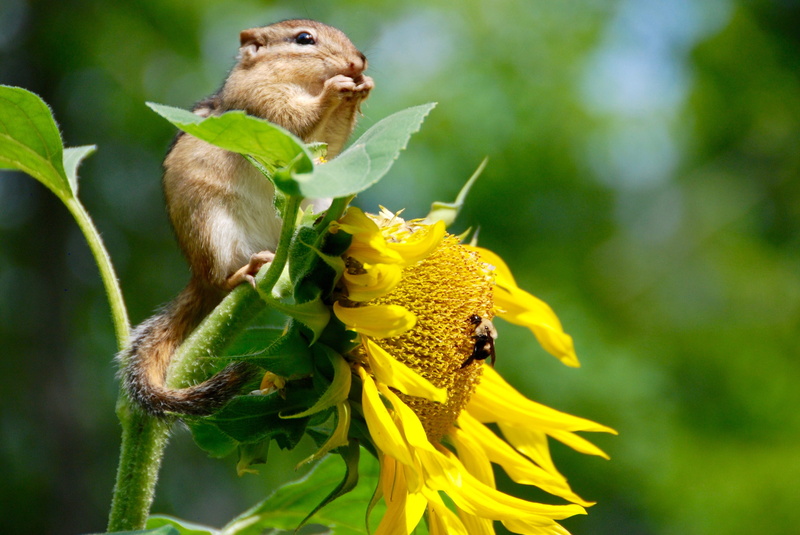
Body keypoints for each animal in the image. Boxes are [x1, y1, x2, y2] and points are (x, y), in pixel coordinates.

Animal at [120, 19, 373, 416]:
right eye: (304, 39)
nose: (358, 61)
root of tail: (197, 278)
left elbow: (330, 142)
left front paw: (362, 87)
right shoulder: (260, 103)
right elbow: (294, 120)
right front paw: (336, 90)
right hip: (212, 230)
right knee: (222, 278)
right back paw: (246, 270)